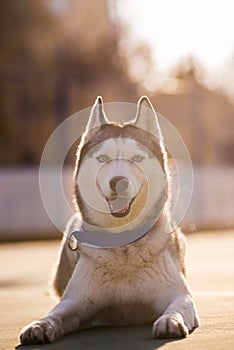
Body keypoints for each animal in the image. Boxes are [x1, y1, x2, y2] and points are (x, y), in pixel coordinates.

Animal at [20, 95, 199, 344]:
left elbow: (177, 306)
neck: (123, 243)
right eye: (102, 158)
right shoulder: (75, 302)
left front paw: (170, 320)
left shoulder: (180, 295)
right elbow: (55, 314)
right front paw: (40, 324)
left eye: (137, 158)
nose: (118, 182)